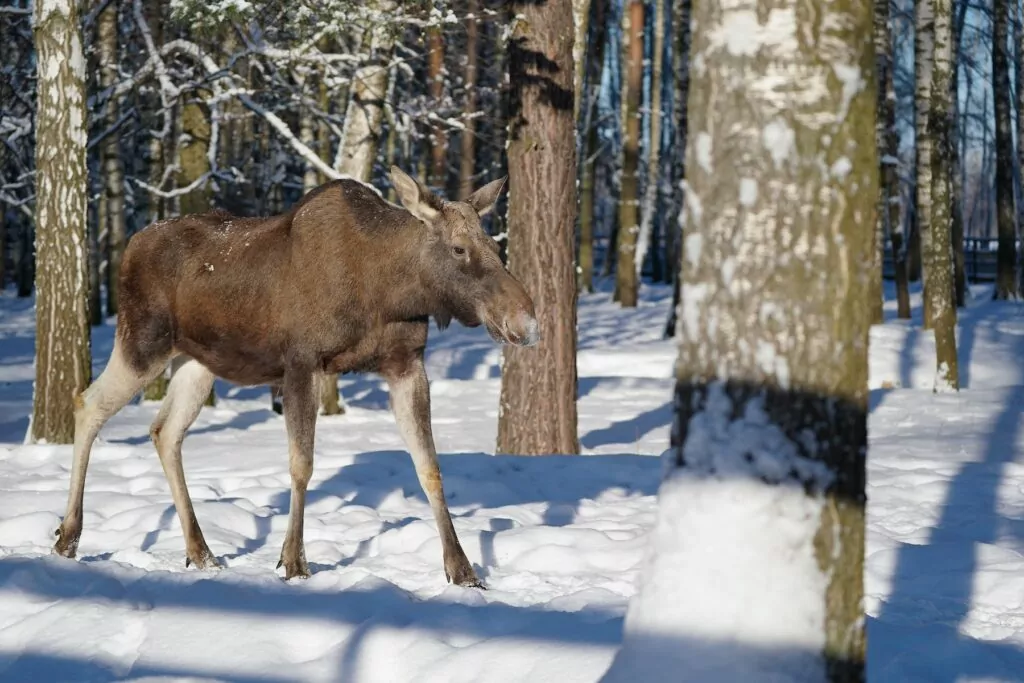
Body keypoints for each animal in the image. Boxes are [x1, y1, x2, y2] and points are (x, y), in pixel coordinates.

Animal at [51, 165, 540, 589]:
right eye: (459, 248)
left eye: (495, 246)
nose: (526, 321)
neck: (390, 293)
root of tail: (130, 246)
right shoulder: (302, 362)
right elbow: (301, 465)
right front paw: (293, 561)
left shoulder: (406, 363)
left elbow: (429, 467)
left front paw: (463, 570)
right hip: (142, 340)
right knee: (87, 403)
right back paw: (68, 536)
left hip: (198, 362)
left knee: (164, 430)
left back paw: (201, 551)